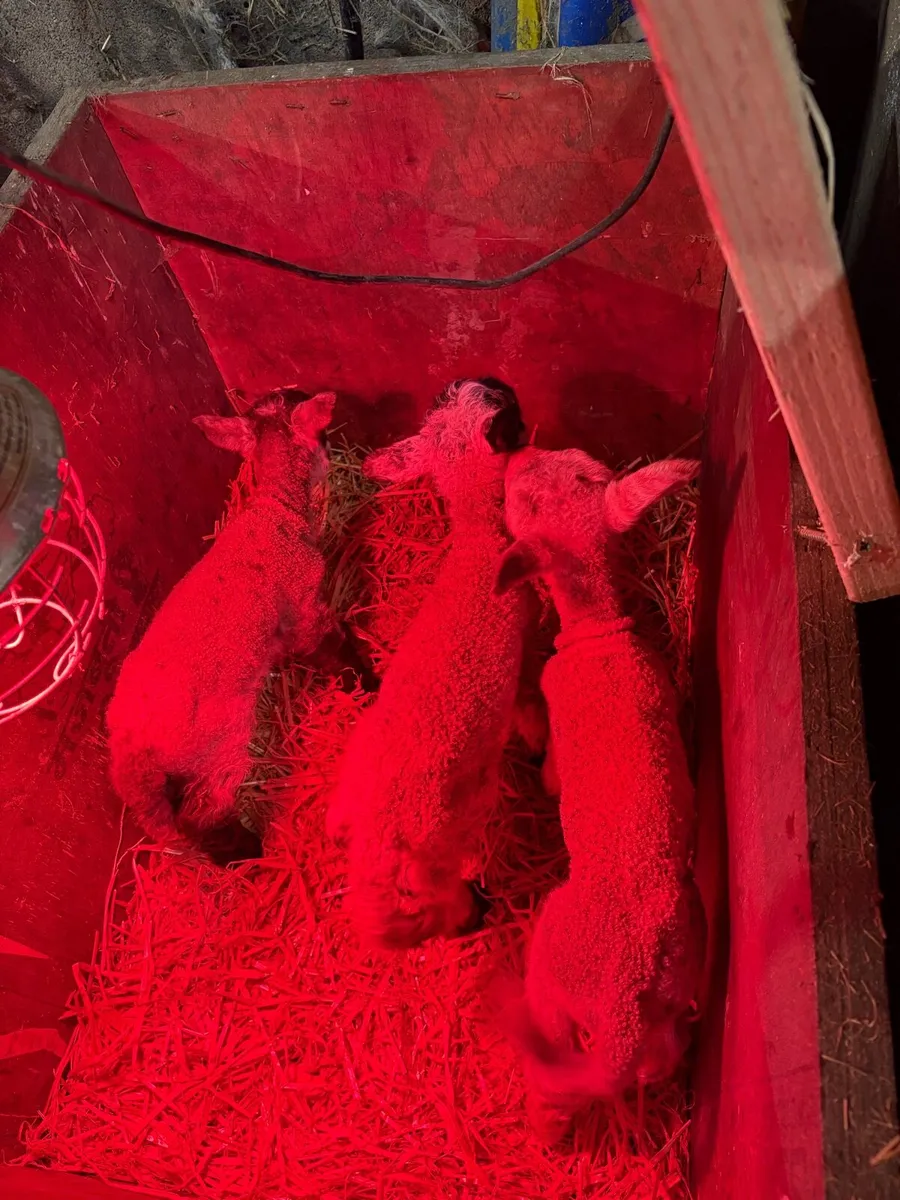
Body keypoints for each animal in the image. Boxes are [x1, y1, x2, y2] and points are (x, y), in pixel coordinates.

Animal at [107, 392, 338, 862]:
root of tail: (130, 753)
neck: (274, 510)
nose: (332, 449)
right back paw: (247, 853)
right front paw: (367, 680)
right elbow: (332, 649)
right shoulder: (305, 605)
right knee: (205, 815)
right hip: (216, 749)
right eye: (321, 432)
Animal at [327, 378, 529, 948]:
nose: (503, 381)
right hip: (436, 853)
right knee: (440, 903)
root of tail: (375, 840)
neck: (478, 546)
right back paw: (475, 911)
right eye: (506, 408)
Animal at [494, 446, 706, 1140]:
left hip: (550, 973)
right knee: (660, 1057)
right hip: (673, 997)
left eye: (525, 504)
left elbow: (552, 774)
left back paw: (542, 1132)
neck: (599, 631)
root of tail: (622, 1008)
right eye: (578, 462)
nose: (515, 452)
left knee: (554, 1074)